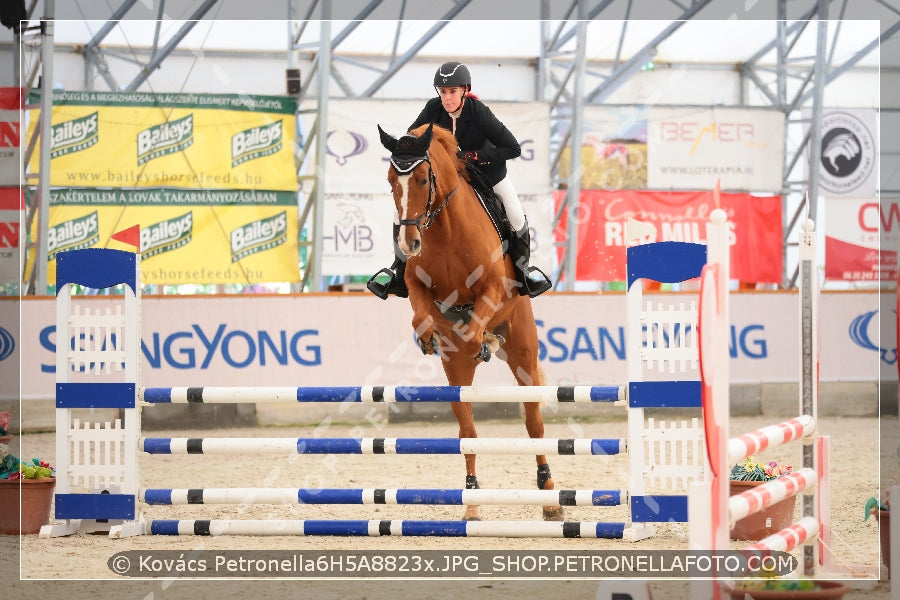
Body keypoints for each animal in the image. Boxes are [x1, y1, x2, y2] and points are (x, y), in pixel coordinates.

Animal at [374, 122, 564, 520]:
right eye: (391, 181)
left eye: (422, 179)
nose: (410, 242)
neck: (444, 228)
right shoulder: (416, 283)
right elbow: (420, 314)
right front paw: (428, 337)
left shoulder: (491, 285)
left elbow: (478, 321)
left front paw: (482, 340)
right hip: (456, 372)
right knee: (468, 432)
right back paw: (473, 501)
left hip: (523, 352)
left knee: (534, 424)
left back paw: (550, 497)